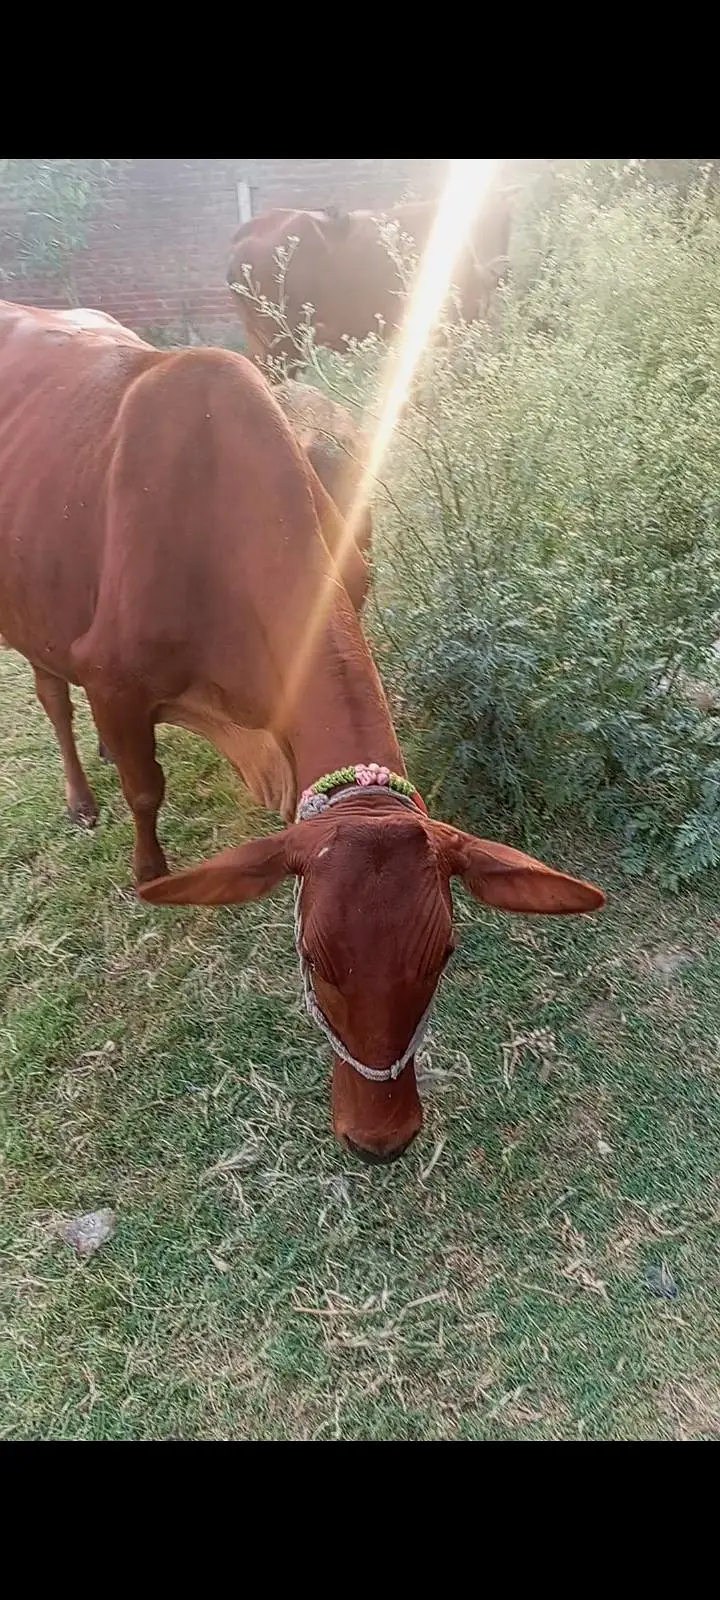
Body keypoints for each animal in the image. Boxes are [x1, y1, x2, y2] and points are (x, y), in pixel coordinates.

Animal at [0, 298, 604, 1162]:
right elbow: (146, 789)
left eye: (447, 953)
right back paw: (83, 800)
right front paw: (150, 873)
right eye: (312, 958)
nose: (381, 1138)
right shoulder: (112, 677)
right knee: (51, 693)